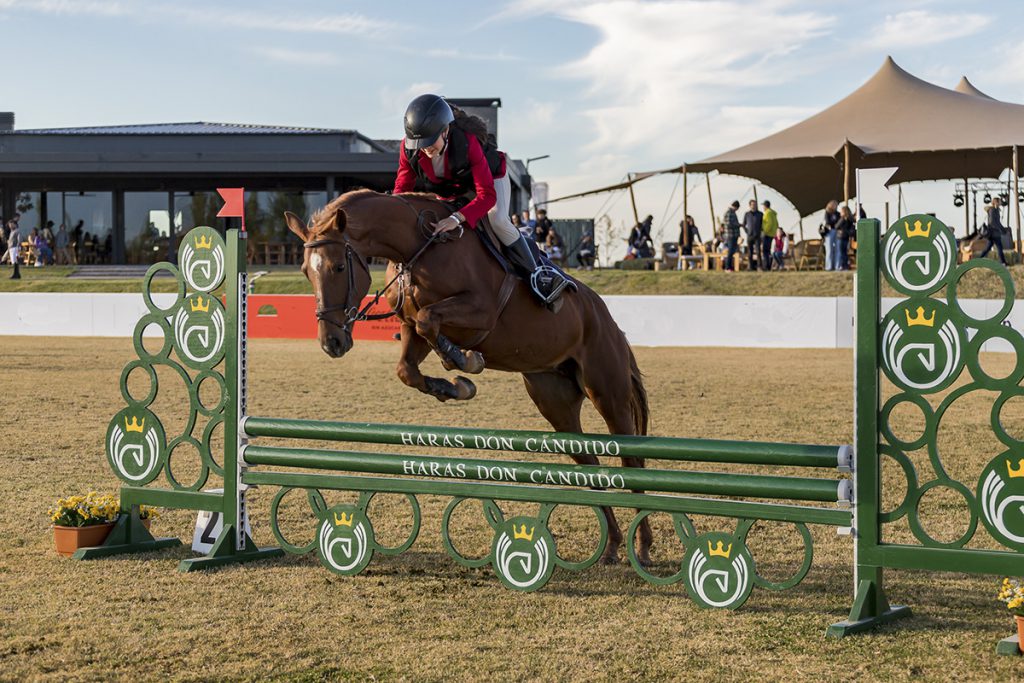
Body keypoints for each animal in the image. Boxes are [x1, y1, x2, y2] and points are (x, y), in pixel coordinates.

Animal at [284, 189, 653, 565]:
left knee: (631, 459)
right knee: (589, 461)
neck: (416, 247)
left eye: (339, 267)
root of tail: (607, 318)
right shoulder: (410, 327)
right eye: (306, 272)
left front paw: (463, 361)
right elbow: (409, 363)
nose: (332, 342)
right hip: (554, 400)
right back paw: (612, 545)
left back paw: (642, 547)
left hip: (606, 389)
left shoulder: (480, 310)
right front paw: (452, 386)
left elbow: (430, 321)